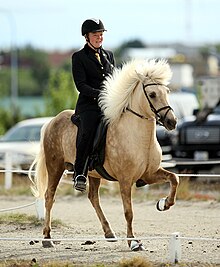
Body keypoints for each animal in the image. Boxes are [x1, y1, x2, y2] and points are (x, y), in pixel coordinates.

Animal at [28, 58, 179, 251]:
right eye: (152, 94)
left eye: (166, 92)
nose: (172, 121)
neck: (138, 136)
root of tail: (52, 121)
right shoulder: (125, 180)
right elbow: (128, 212)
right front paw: (133, 242)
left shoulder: (149, 174)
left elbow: (174, 178)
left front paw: (164, 204)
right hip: (55, 167)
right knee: (49, 197)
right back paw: (47, 238)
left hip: (92, 174)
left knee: (93, 198)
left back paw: (109, 233)